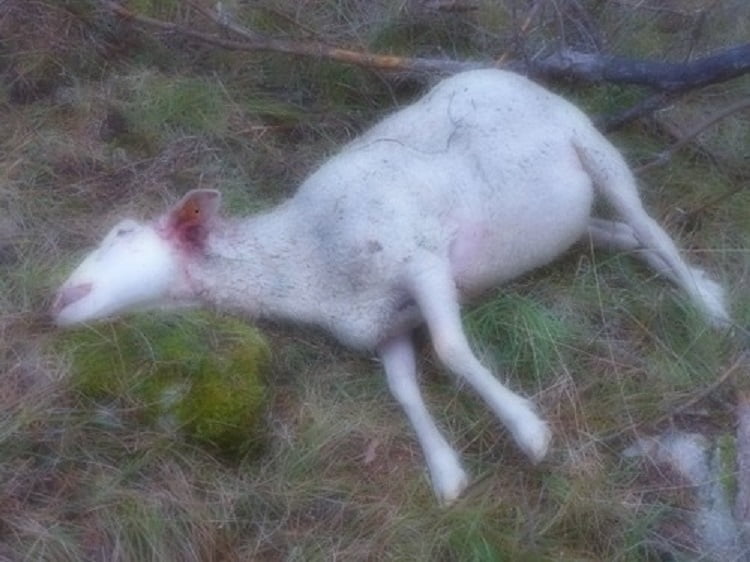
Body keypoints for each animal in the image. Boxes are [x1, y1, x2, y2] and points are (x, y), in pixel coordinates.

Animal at [51, 70, 728, 504]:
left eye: (122, 231)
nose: (55, 301)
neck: (308, 260)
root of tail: (504, 71)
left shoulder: (421, 260)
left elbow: (451, 352)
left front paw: (528, 432)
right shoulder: (383, 324)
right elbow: (403, 389)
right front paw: (446, 473)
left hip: (589, 143)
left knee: (650, 226)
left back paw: (708, 311)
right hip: (566, 221)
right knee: (624, 236)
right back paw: (702, 284)